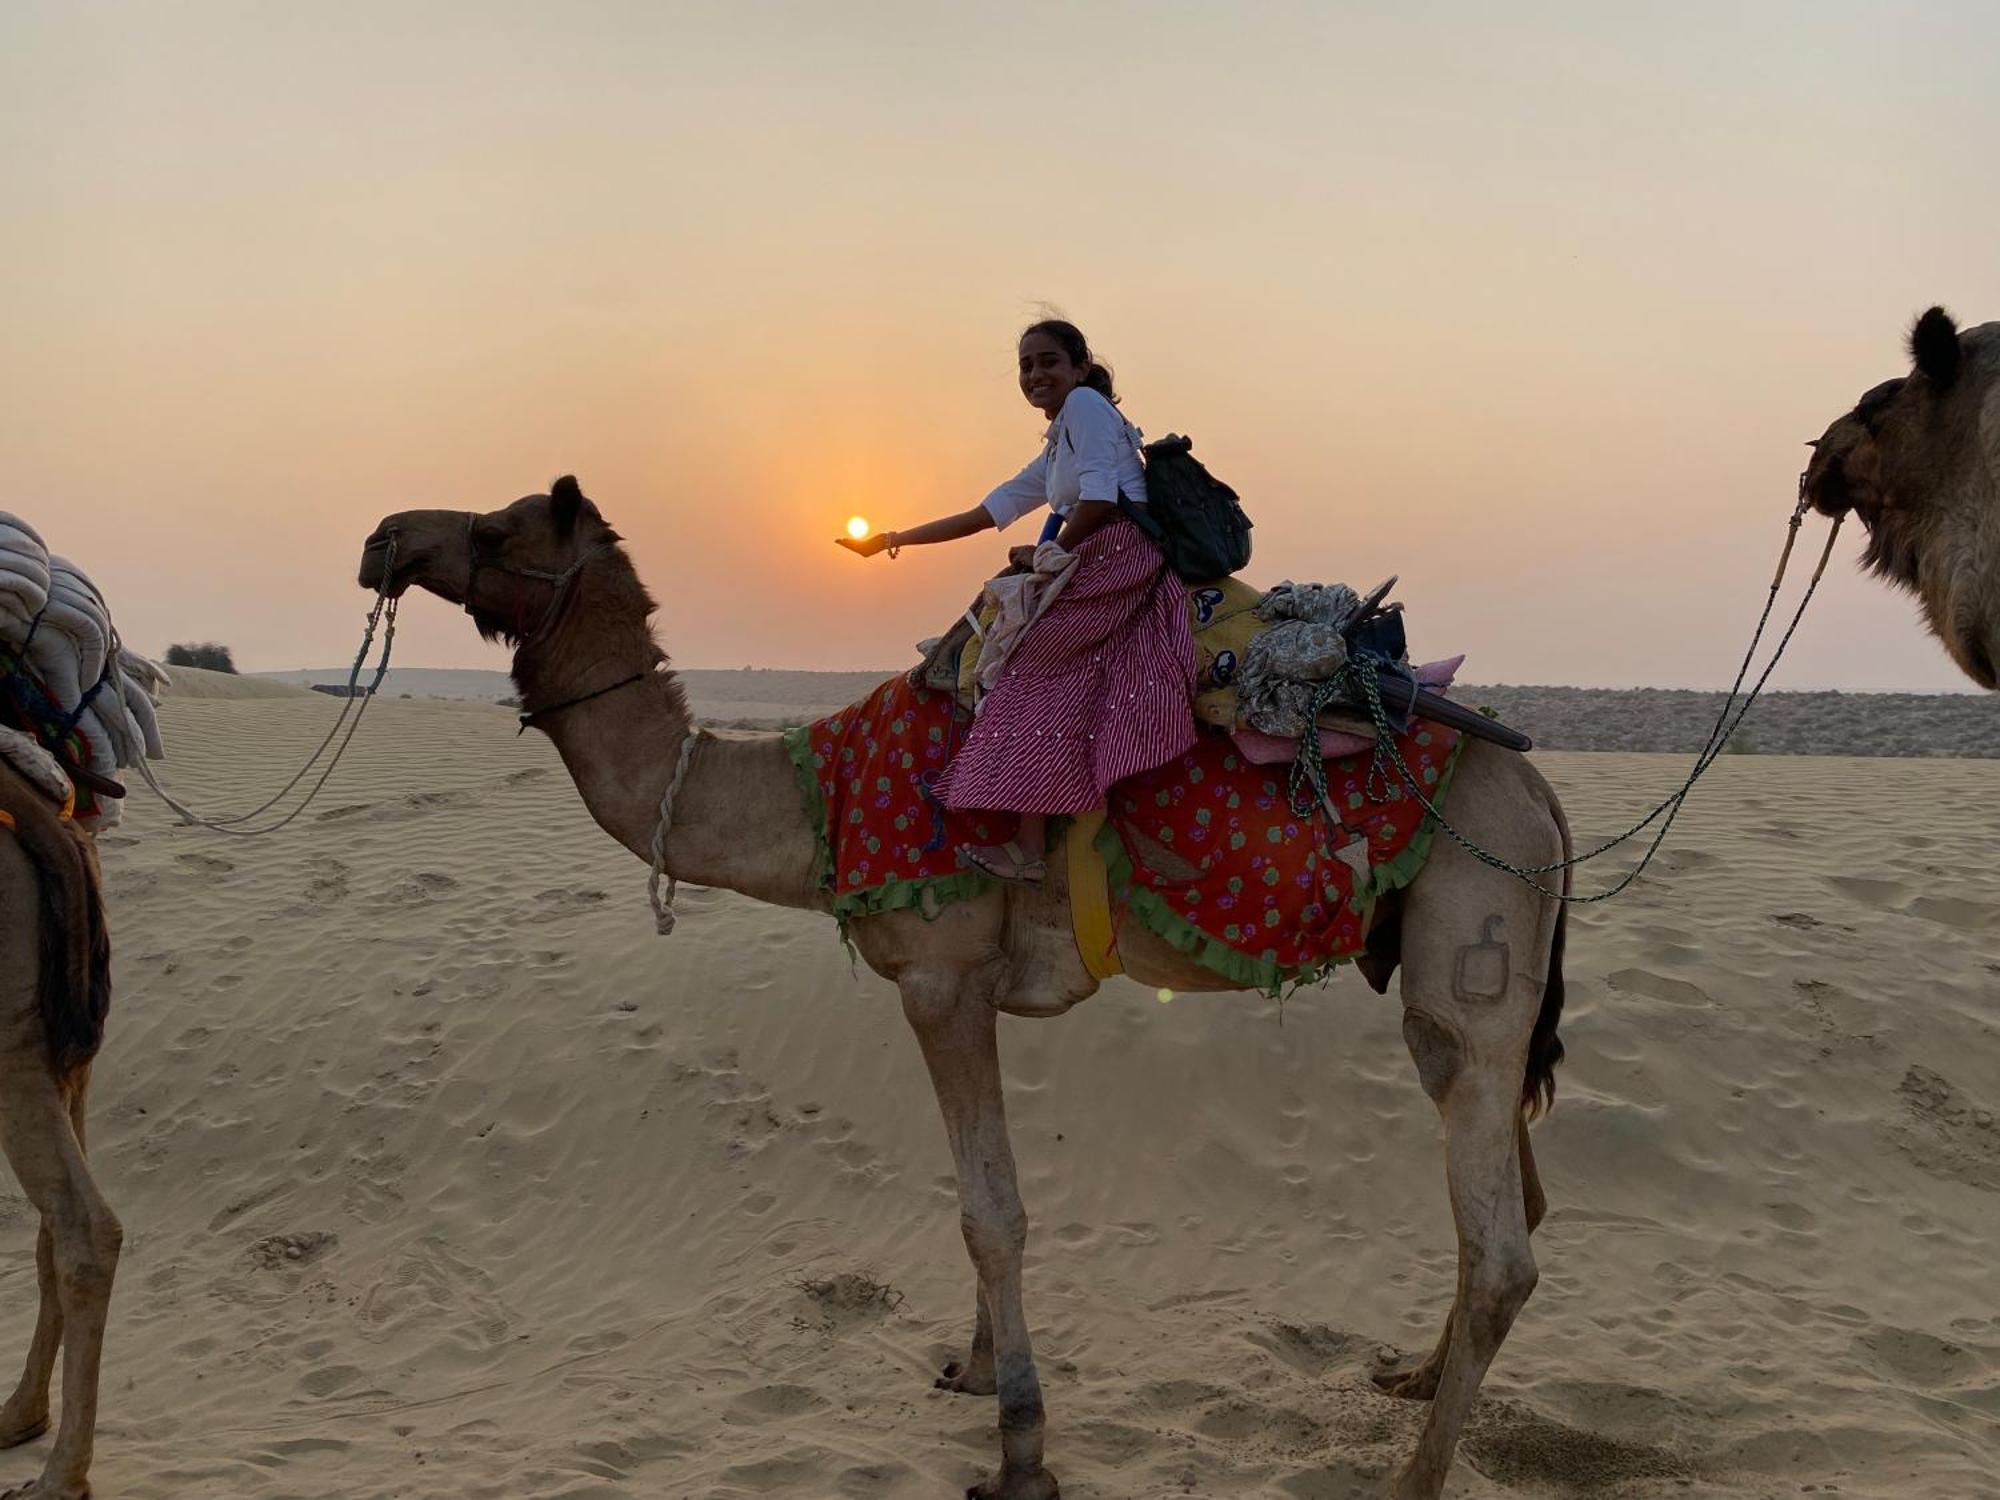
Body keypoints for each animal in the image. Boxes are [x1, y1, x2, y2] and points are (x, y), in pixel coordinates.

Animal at [360, 482, 1576, 1500]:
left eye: (496, 528)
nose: (384, 539)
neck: (819, 795)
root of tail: (1541, 797)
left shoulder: (939, 983)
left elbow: (993, 1213)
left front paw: (1019, 1452)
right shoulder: (965, 993)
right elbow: (972, 1203)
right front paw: (975, 1366)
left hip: (1475, 920)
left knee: (1502, 1245)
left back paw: (1412, 1479)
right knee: (1503, 1196)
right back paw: (1411, 1381)